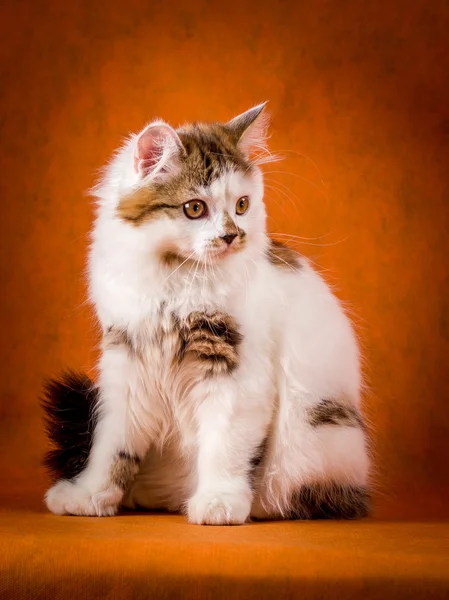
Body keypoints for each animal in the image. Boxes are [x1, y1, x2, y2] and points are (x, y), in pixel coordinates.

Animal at [43, 104, 372, 524]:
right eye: (194, 208)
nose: (231, 236)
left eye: (242, 205)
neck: (175, 279)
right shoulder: (126, 363)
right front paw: (89, 496)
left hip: (319, 437)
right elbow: (111, 447)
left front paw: (219, 502)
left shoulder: (237, 373)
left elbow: (223, 447)